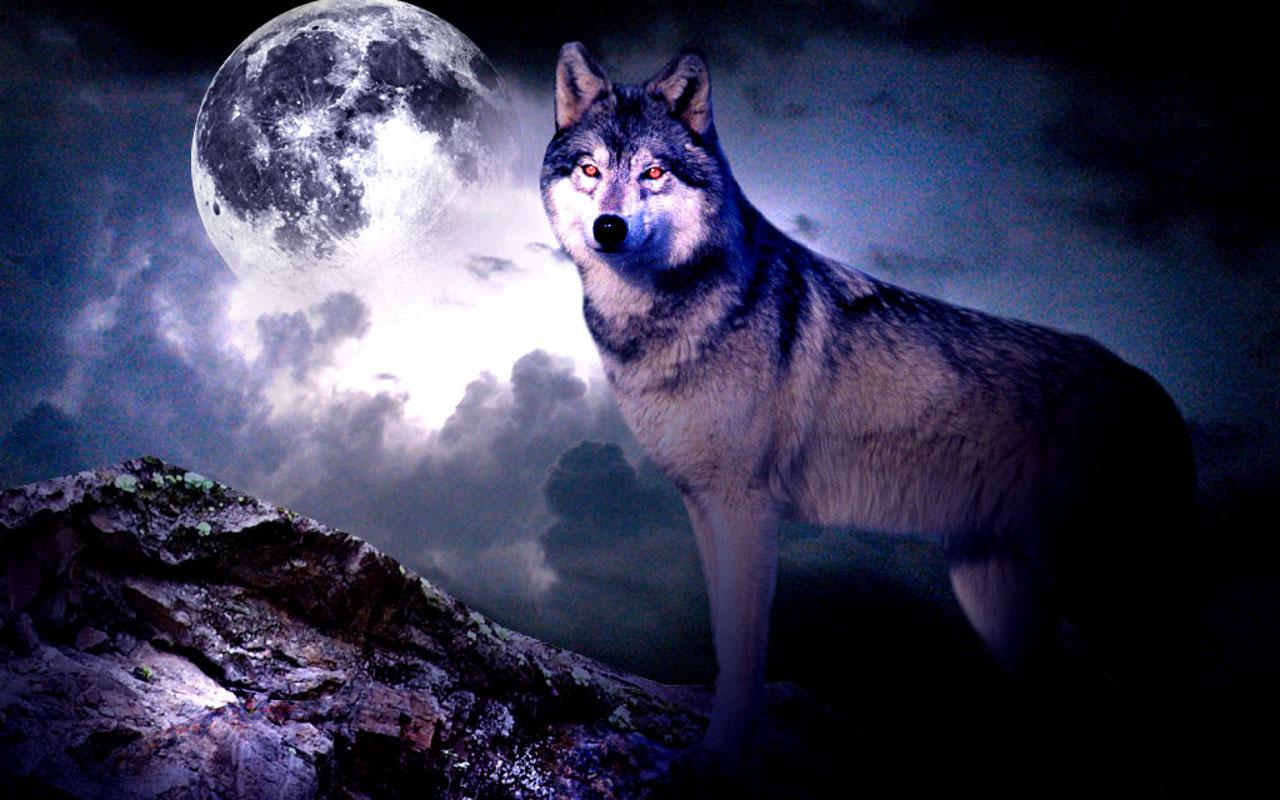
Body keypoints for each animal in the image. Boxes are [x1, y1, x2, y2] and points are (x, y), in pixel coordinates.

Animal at [540, 42, 1196, 785]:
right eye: (591, 170)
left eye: (652, 171)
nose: (609, 228)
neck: (668, 313)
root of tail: (1154, 389)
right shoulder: (702, 507)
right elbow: (723, 641)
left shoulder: (746, 510)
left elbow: (743, 655)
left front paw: (718, 760)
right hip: (996, 602)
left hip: (1106, 600)